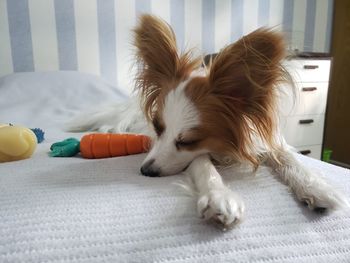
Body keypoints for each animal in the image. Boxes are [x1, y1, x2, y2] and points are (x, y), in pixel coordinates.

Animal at [67, 14, 348, 230]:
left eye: (188, 141)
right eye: (158, 128)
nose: (146, 171)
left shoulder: (269, 142)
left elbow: (294, 162)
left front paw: (319, 187)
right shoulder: (193, 153)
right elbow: (204, 167)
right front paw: (219, 196)